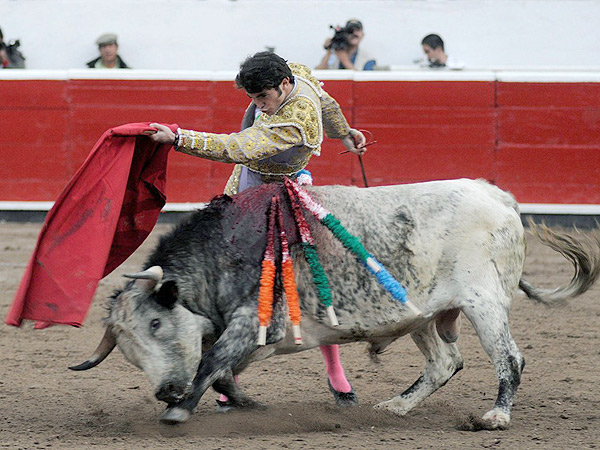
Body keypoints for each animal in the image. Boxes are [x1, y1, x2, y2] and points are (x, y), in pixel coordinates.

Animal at [69, 178, 600, 428]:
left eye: (156, 325)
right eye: (127, 350)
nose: (164, 390)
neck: (220, 253)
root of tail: (500, 197)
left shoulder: (253, 324)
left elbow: (211, 362)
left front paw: (180, 412)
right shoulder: (252, 336)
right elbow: (221, 371)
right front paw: (247, 404)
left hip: (483, 301)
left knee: (509, 358)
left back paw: (496, 417)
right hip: (423, 314)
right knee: (445, 361)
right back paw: (396, 406)